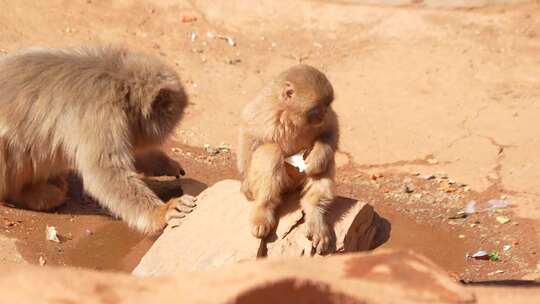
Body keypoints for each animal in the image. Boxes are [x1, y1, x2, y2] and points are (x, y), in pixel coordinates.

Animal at [0, 46, 197, 234]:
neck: (119, 82)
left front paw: (166, 164)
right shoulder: (102, 115)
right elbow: (104, 171)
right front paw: (163, 212)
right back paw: (26, 195)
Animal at [239, 64, 340, 254]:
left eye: (326, 105)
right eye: (316, 109)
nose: (323, 115)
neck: (289, 114)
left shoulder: (327, 119)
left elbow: (330, 132)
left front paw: (316, 160)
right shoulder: (264, 111)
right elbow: (249, 134)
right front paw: (246, 185)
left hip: (296, 184)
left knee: (326, 162)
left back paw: (314, 211)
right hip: (285, 185)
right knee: (270, 152)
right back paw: (263, 210)